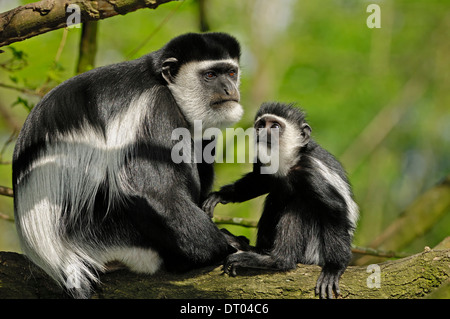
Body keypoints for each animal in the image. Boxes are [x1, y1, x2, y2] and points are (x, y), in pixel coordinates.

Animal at [13, 32, 246, 300]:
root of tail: (54, 255)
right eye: (210, 75)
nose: (230, 89)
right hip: (110, 236)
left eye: (231, 73)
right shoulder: (154, 106)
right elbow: (154, 191)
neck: (160, 80)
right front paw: (228, 246)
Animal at [203, 102, 358, 300]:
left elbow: (335, 210)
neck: (289, 162)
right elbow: (260, 181)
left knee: (299, 205)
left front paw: (334, 269)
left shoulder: (311, 172)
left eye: (275, 126)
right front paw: (220, 195)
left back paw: (276, 260)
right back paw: (250, 248)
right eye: (261, 125)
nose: (262, 133)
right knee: (276, 197)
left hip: (314, 249)